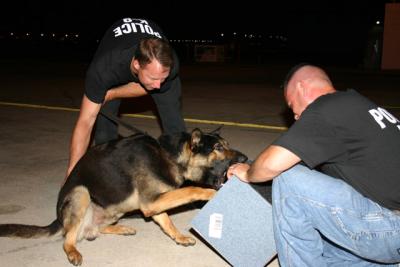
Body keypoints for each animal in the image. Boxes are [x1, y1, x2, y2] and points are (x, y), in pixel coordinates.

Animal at [0, 127, 247, 266]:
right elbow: (189, 190)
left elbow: (166, 221)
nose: (245, 158)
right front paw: (209, 193)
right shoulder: (151, 202)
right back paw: (73, 252)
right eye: (218, 147)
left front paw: (179, 237)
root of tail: (59, 220)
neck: (168, 156)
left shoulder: (154, 204)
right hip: (81, 194)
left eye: (225, 145)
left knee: (95, 231)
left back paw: (122, 228)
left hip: (114, 210)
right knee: (68, 238)